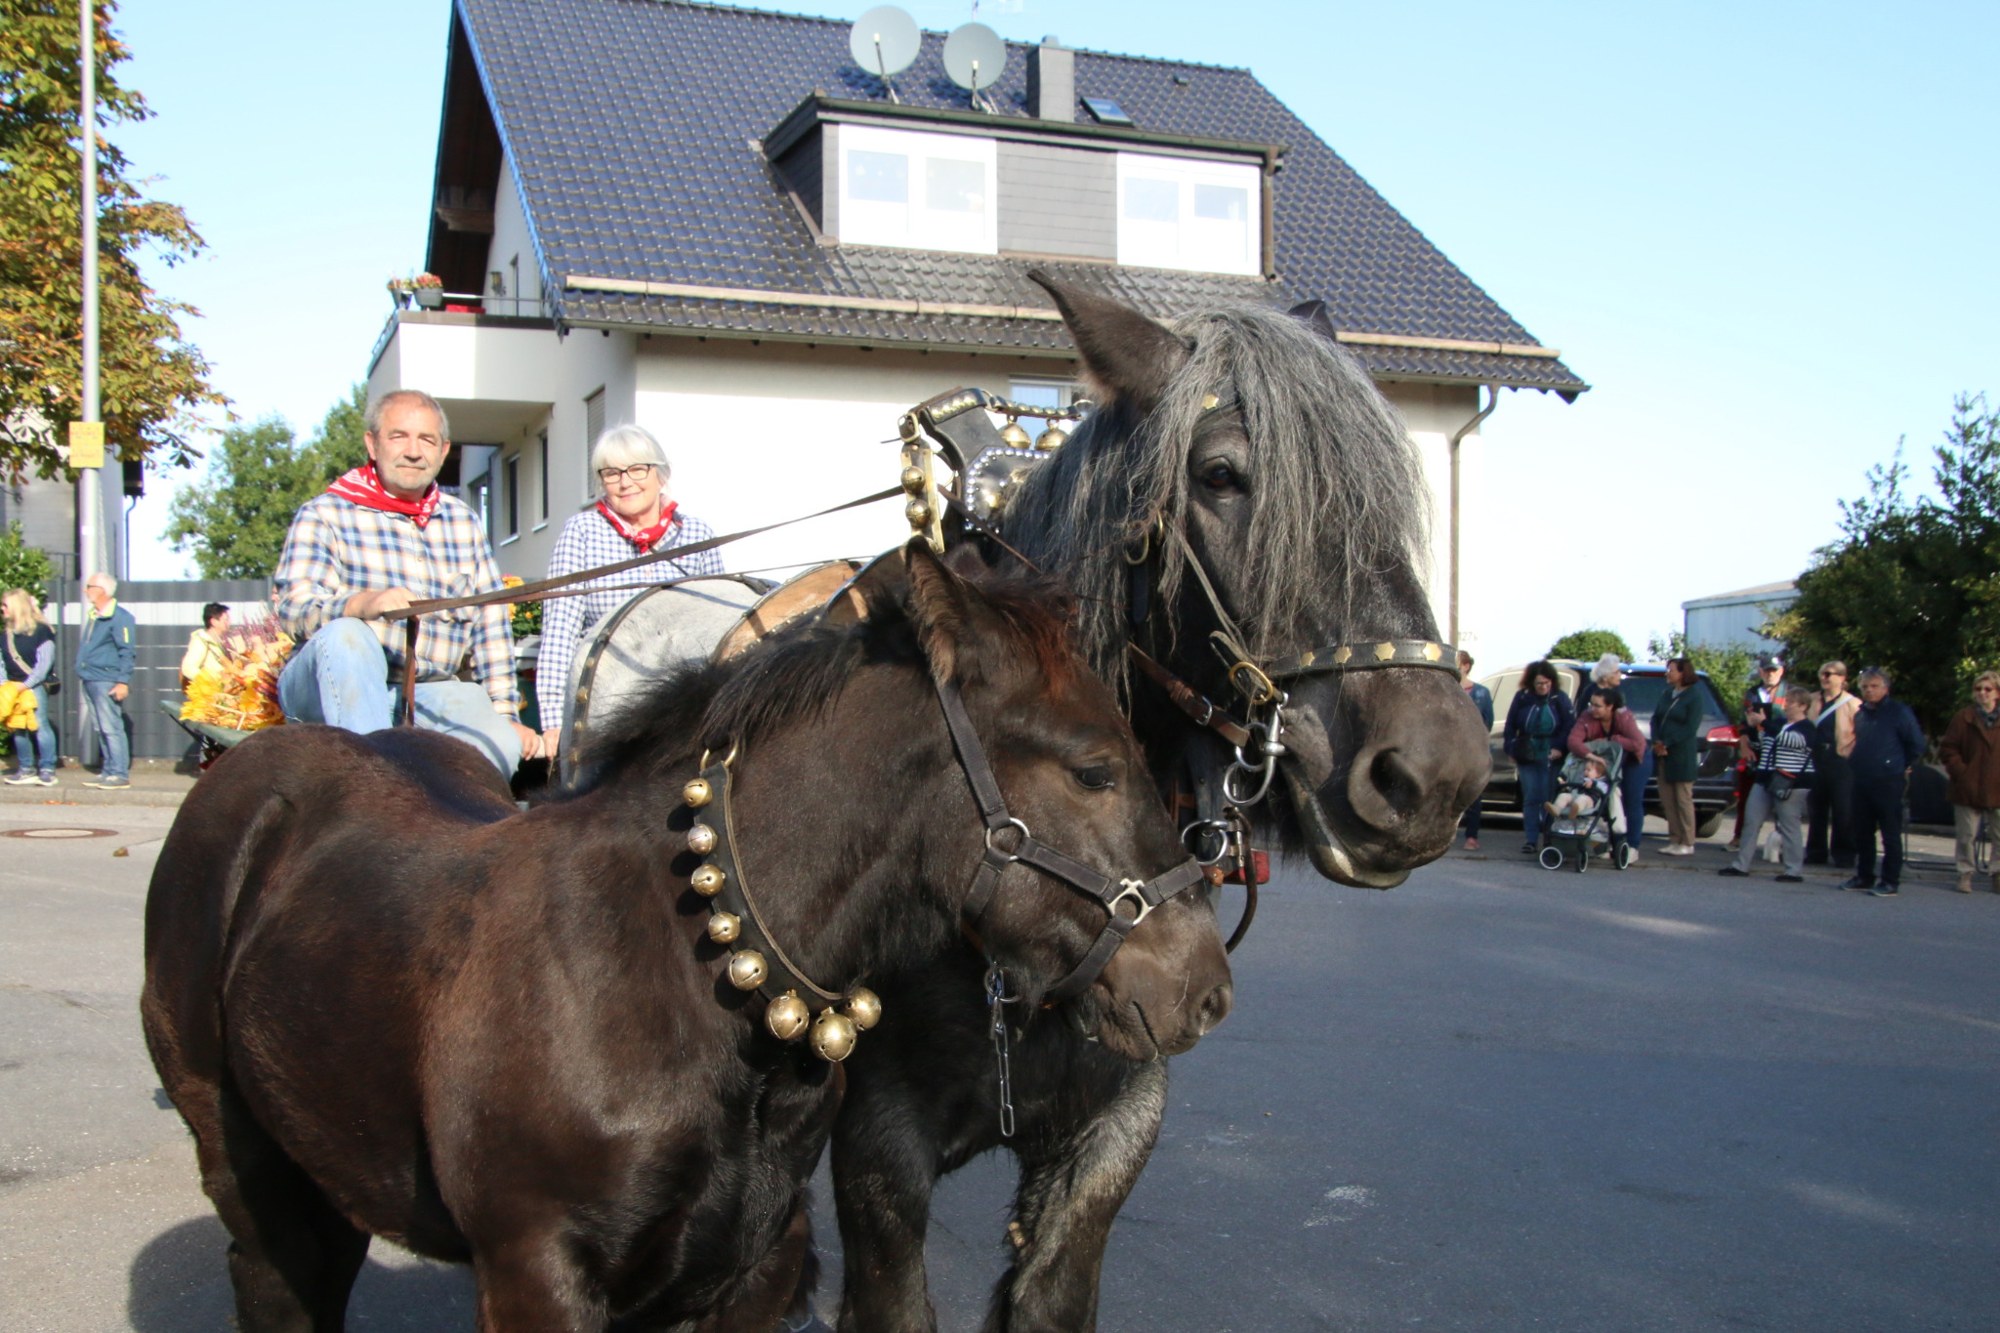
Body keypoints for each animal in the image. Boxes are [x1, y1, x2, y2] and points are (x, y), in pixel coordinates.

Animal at [139, 543, 1232, 1332]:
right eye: (1094, 767)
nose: (1203, 986)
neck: (680, 971)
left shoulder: (750, 1267)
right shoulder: (535, 1273)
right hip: (252, 1176)